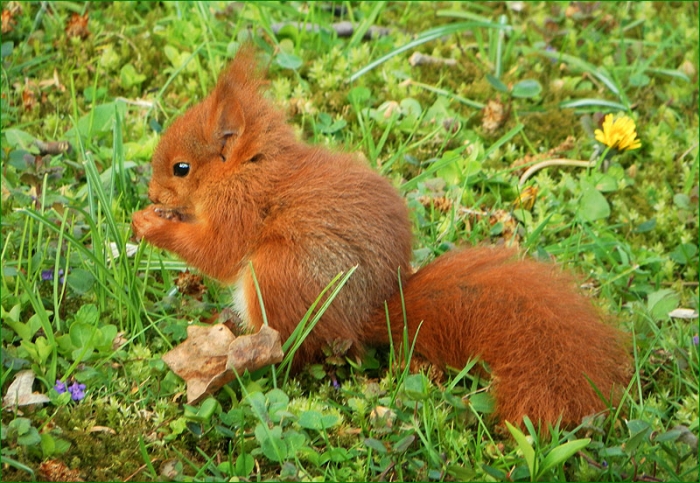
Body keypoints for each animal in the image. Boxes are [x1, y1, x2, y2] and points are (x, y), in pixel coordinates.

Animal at [132, 47, 631, 429]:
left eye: (181, 168)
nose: (152, 194)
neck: (248, 168)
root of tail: (365, 318)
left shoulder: (241, 211)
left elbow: (217, 252)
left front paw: (150, 224)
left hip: (277, 274)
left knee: (294, 350)